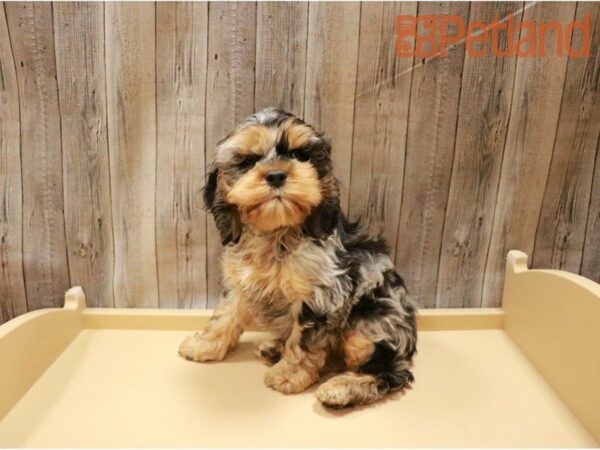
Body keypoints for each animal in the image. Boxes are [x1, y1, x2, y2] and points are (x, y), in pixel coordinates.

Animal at [178, 108, 418, 408]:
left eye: (299, 155)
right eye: (248, 161)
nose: (276, 175)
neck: (277, 231)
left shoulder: (322, 293)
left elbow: (305, 340)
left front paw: (288, 376)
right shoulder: (239, 283)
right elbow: (224, 316)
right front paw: (204, 346)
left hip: (370, 327)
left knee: (390, 372)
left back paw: (341, 388)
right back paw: (274, 350)